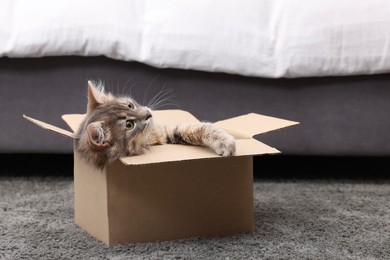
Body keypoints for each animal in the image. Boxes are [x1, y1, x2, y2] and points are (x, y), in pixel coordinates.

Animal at [75, 80, 236, 169]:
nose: (148, 114)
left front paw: (225, 141)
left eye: (130, 105)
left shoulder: (165, 132)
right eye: (129, 125)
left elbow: (197, 128)